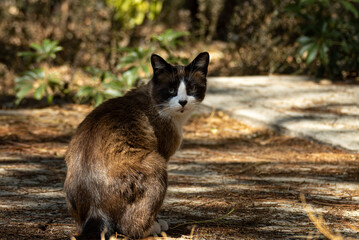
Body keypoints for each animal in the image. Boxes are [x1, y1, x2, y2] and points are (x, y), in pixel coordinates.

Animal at [64, 51, 211, 239]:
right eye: (171, 90)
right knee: (131, 229)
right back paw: (152, 229)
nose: (183, 102)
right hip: (156, 163)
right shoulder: (163, 153)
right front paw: (157, 222)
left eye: (191, 89)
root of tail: (95, 211)